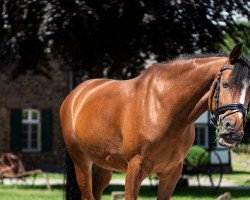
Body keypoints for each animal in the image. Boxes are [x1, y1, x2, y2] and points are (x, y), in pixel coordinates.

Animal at [60, 44, 250, 200]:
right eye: (225, 84)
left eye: (249, 91)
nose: (234, 131)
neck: (163, 107)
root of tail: (75, 95)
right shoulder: (135, 170)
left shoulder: (171, 173)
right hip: (81, 161)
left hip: (104, 164)